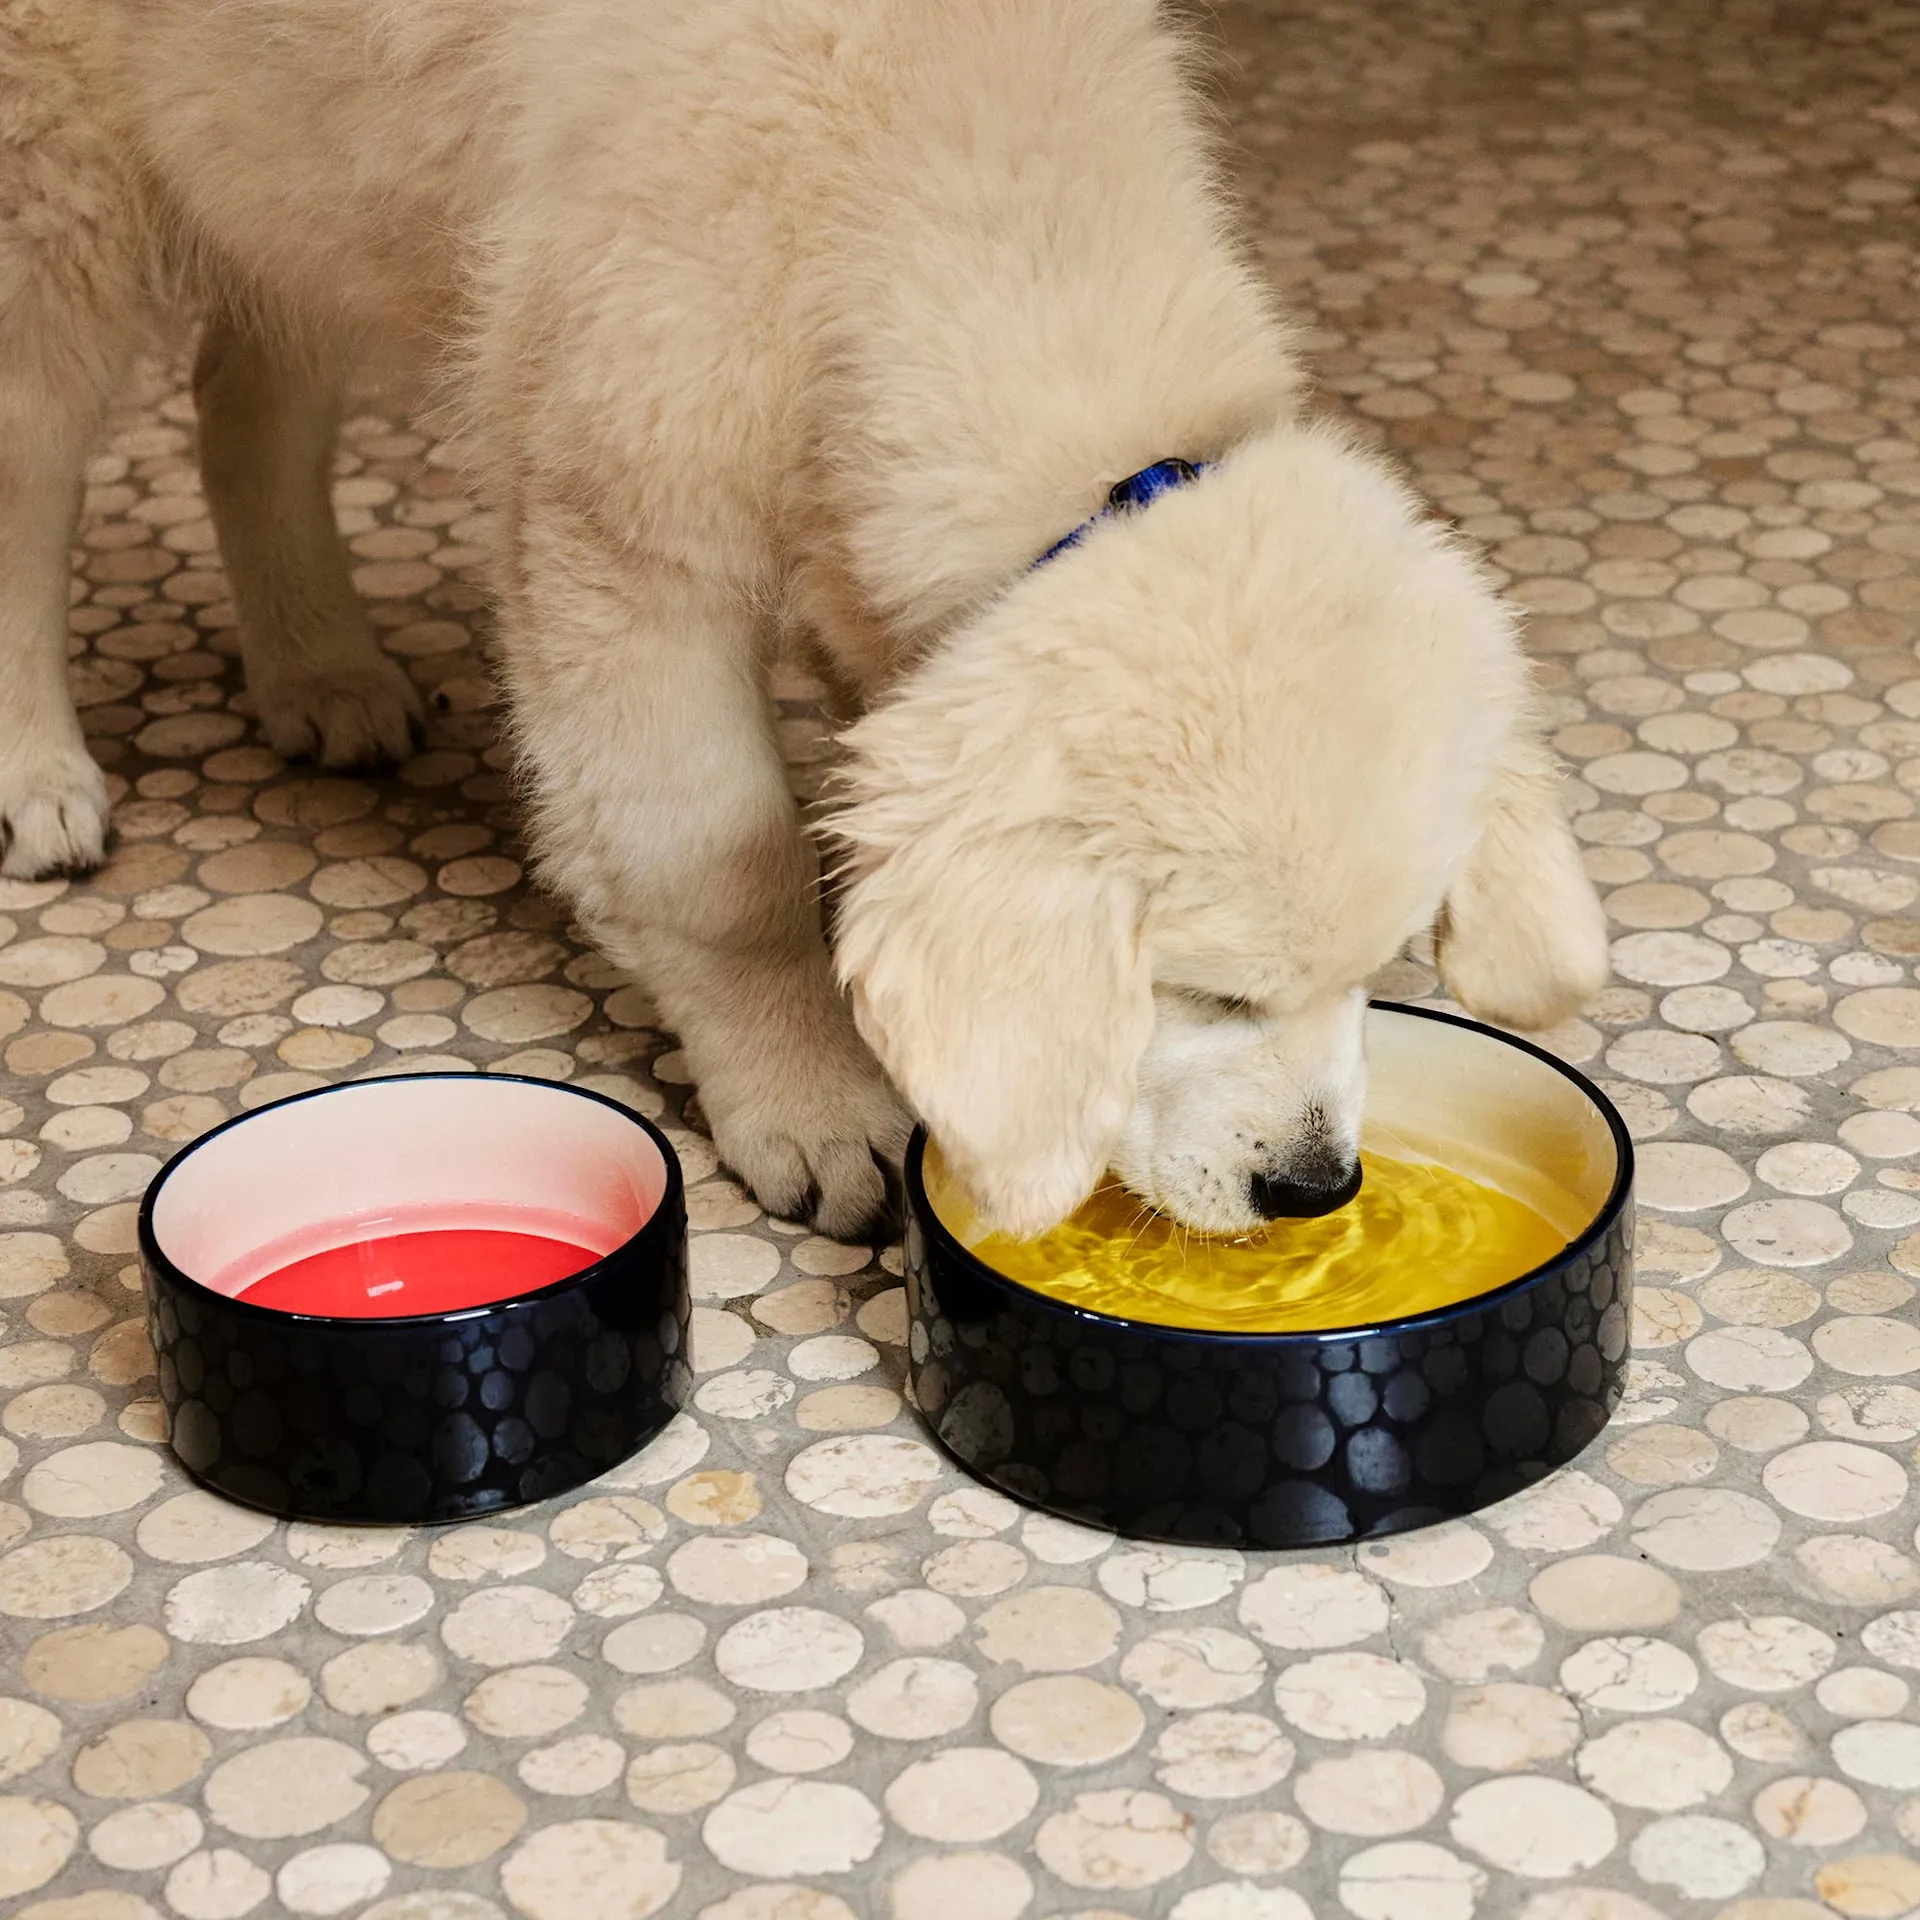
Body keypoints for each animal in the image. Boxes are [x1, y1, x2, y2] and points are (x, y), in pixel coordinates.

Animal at [0, 0, 1605, 1244]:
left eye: (1381, 968)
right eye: (1205, 990)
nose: (1315, 1192)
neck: (939, 198)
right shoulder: (621, 529)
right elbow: (716, 862)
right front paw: (812, 1097)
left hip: (299, 166)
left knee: (246, 388)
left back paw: (321, 669)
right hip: (56, 177)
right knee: (34, 464)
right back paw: (36, 774)